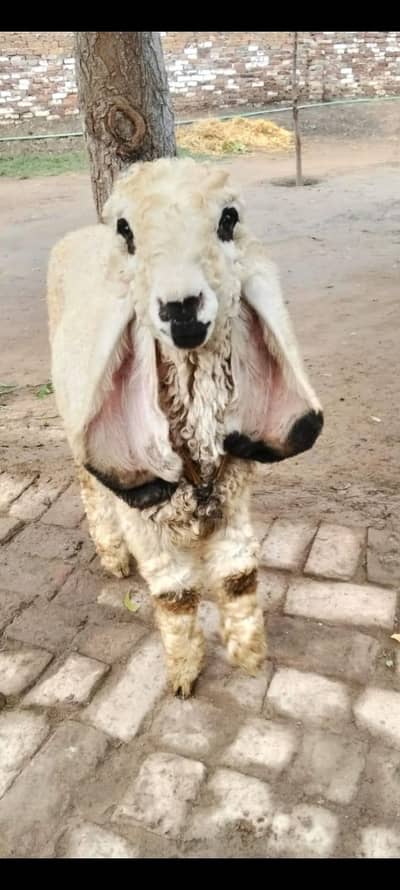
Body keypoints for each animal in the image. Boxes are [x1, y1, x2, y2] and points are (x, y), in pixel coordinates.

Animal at [46, 156, 323, 697]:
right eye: (126, 230)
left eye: (228, 219)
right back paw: (113, 557)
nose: (180, 309)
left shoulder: (235, 500)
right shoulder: (146, 520)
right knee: (90, 487)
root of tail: (75, 236)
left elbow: (239, 576)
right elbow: (174, 596)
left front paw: (249, 656)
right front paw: (183, 674)